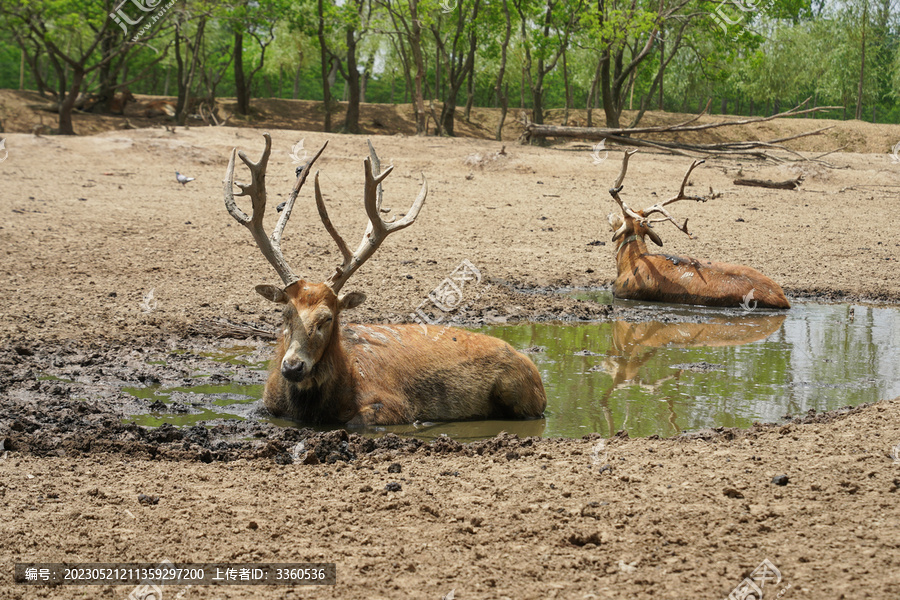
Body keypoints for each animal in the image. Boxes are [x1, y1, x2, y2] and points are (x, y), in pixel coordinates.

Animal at [225, 136, 548, 426]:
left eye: (327, 318)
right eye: (284, 313)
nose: (293, 367)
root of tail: (531, 366)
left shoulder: (393, 402)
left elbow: (356, 421)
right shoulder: (266, 402)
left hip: (523, 395)